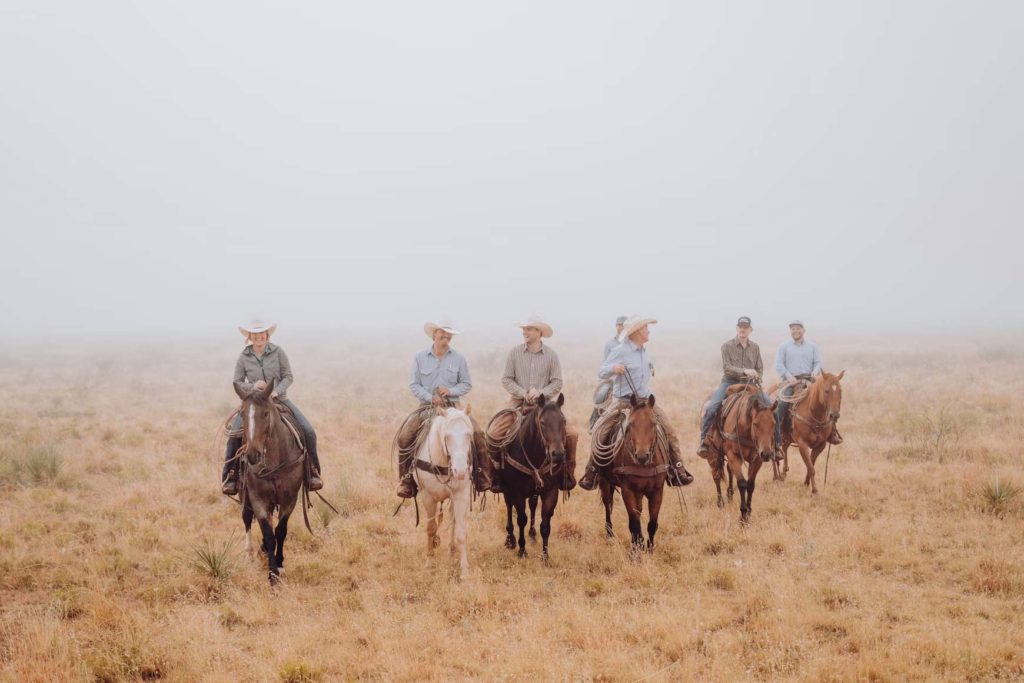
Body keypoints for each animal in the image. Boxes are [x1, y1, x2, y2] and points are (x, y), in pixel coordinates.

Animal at [234, 376, 309, 585]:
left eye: (266, 413)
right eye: (242, 414)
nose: (252, 454)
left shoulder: (289, 499)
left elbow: (280, 531)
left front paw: (280, 565)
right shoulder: (257, 498)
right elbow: (268, 534)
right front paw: (272, 574)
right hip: (245, 494)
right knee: (246, 518)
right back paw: (250, 553)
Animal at [409, 405, 473, 581]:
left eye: (468, 435)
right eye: (447, 436)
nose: (460, 472)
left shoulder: (461, 495)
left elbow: (462, 532)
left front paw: (464, 571)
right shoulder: (428, 497)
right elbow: (431, 528)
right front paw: (429, 562)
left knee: (452, 520)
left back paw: (451, 548)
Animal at [501, 395, 573, 561]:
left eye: (563, 421)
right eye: (543, 422)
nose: (558, 454)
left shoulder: (551, 492)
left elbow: (545, 525)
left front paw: (545, 557)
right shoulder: (517, 493)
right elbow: (521, 519)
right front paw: (522, 550)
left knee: (533, 505)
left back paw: (532, 535)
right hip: (507, 491)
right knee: (509, 506)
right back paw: (510, 539)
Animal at [598, 393, 667, 552]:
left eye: (653, 423)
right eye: (631, 424)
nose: (642, 456)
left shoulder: (657, 491)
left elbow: (652, 523)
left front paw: (649, 548)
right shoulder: (627, 490)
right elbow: (634, 523)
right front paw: (636, 548)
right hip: (604, 482)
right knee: (607, 503)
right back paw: (609, 534)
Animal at [704, 385, 774, 524]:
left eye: (774, 424)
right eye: (755, 424)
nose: (766, 454)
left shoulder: (756, 460)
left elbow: (750, 485)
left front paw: (749, 512)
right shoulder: (733, 456)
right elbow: (742, 483)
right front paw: (743, 515)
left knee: (728, 470)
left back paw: (730, 495)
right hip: (713, 454)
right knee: (716, 476)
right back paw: (720, 503)